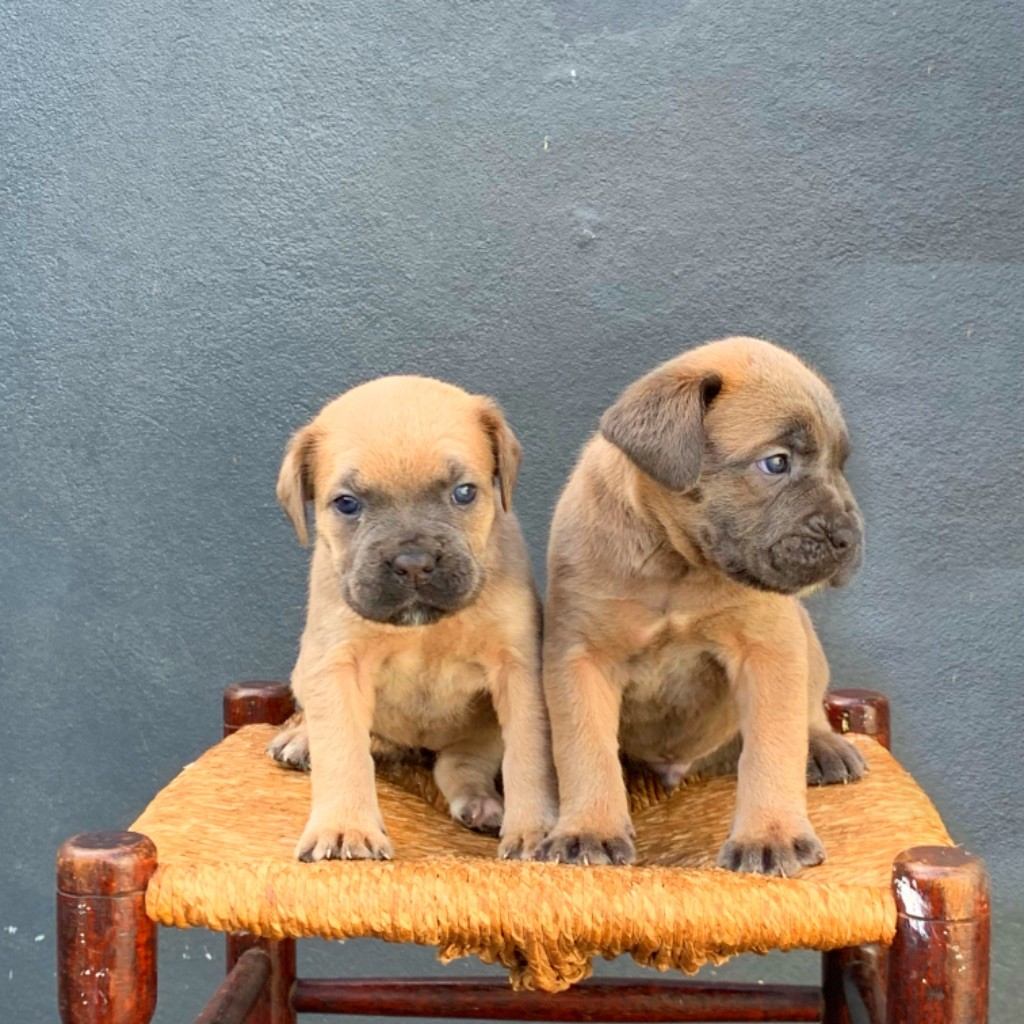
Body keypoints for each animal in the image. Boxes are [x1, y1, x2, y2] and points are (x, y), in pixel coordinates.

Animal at [272, 380, 557, 860]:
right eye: (346, 504)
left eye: (464, 492)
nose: (413, 563)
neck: (425, 628)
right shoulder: (337, 665)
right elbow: (342, 750)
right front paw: (345, 827)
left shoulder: (519, 671)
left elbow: (529, 755)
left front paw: (535, 830)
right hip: (304, 669)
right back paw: (302, 738)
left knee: (459, 764)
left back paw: (480, 803)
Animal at [540, 339, 868, 876]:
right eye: (776, 463)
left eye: (840, 464)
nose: (848, 538)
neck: (678, 565)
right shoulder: (581, 658)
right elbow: (586, 750)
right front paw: (589, 829)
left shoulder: (768, 651)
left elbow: (772, 748)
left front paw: (770, 835)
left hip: (803, 636)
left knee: (807, 709)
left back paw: (822, 746)